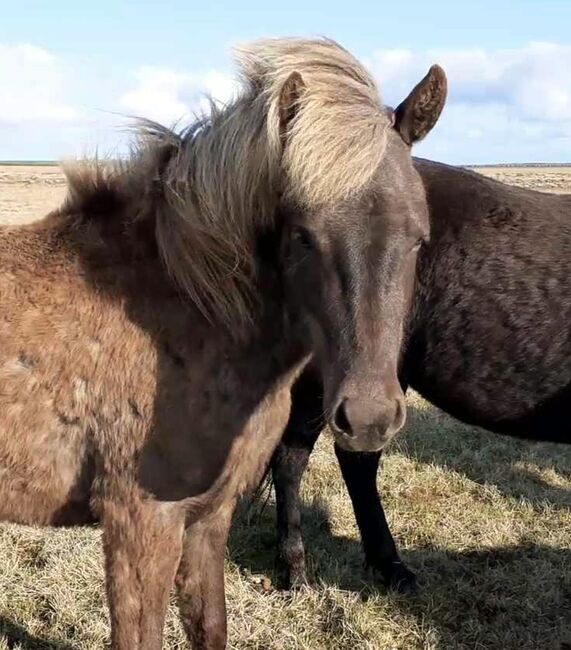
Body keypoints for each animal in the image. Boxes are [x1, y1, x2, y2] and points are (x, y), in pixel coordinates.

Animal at [0, 39, 446, 648]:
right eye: (303, 236)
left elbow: (209, 625)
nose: (369, 418)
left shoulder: (209, 519)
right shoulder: (141, 523)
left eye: (419, 237)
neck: (186, 307)